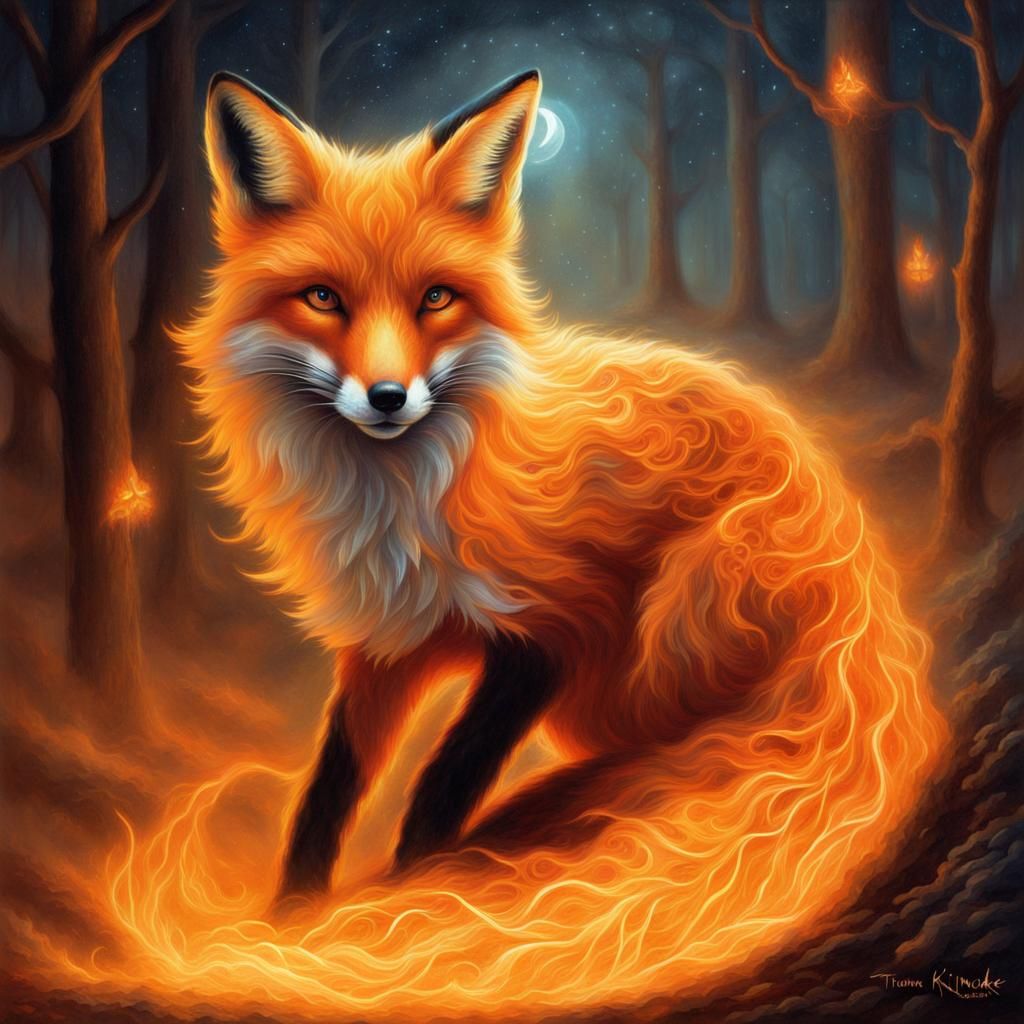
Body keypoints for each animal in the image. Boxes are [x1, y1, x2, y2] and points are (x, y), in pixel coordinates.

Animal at [178, 68, 945, 911]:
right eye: (323, 298)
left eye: (436, 299)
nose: (387, 397)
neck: (407, 502)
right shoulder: (389, 642)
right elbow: (331, 787)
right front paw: (293, 908)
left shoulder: (563, 625)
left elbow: (447, 777)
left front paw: (418, 879)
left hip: (678, 613)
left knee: (682, 743)